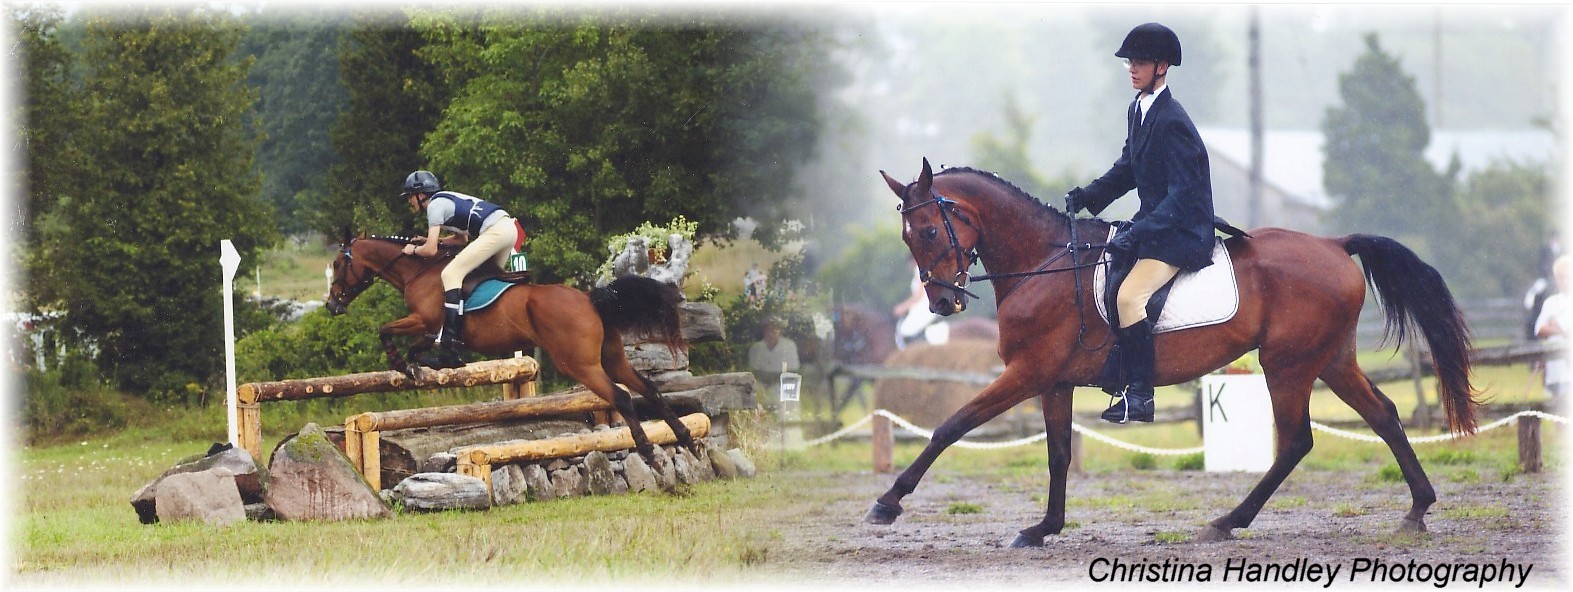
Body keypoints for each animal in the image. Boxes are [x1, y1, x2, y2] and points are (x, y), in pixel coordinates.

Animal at [324, 234, 698, 460]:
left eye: (339, 265)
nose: (331, 306)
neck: (419, 271)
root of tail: (590, 299)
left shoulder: (423, 320)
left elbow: (385, 330)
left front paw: (404, 364)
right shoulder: (431, 329)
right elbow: (423, 347)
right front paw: (427, 364)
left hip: (580, 365)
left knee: (620, 396)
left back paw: (648, 451)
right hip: (613, 358)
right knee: (648, 388)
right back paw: (686, 439)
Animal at [866, 159, 1480, 547]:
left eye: (927, 231)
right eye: (908, 237)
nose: (942, 302)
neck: (1044, 262)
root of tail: (1334, 244)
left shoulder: (1027, 372)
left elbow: (951, 425)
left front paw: (888, 503)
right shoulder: (1053, 381)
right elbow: (1059, 453)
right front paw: (1044, 529)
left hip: (1286, 365)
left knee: (1296, 441)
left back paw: (1227, 522)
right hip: (1329, 360)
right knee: (1383, 415)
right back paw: (1417, 509)